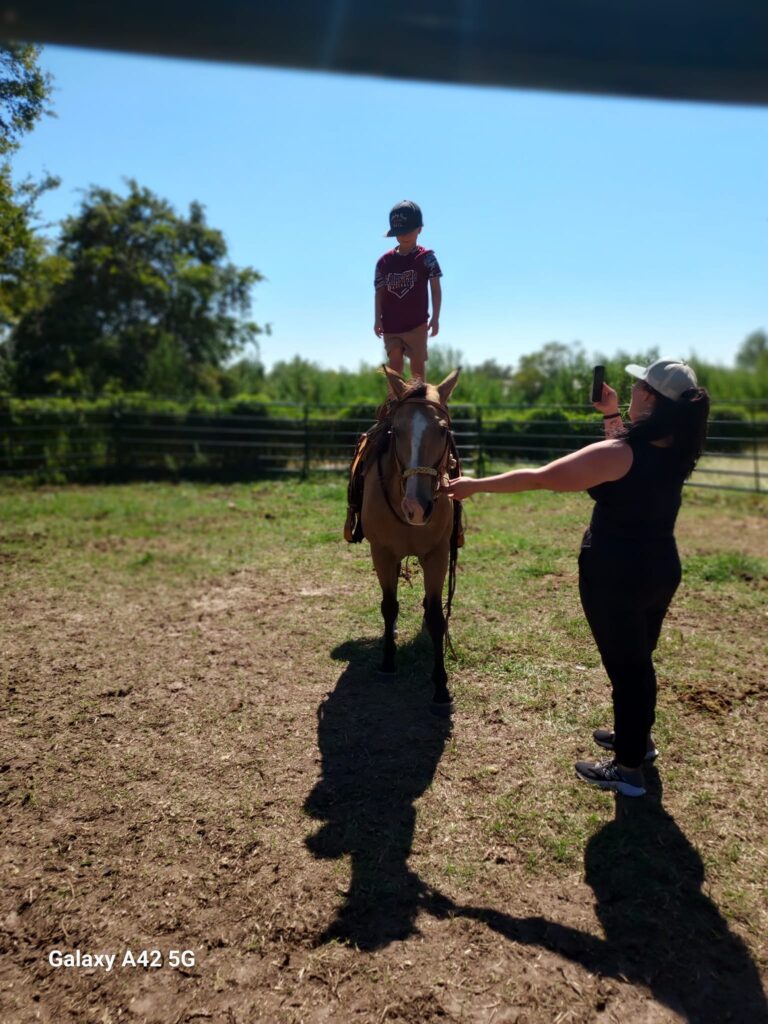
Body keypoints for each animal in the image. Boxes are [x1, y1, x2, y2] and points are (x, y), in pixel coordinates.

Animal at [358, 365, 462, 713]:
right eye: (396, 431)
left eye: (442, 431)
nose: (416, 507)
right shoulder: (382, 553)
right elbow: (389, 606)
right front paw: (388, 662)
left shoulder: (437, 555)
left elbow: (436, 616)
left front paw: (441, 687)